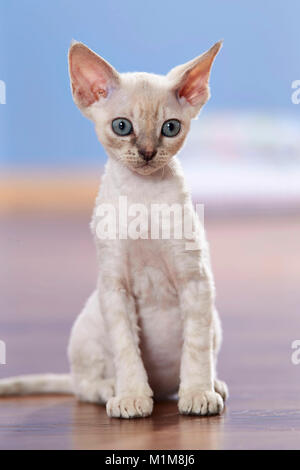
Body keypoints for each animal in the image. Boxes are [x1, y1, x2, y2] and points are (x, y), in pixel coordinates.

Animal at [0, 40, 227, 418]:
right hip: (89, 321)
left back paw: (211, 386)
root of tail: (162, 389)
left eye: (170, 128)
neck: (142, 197)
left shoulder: (195, 281)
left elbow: (195, 349)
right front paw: (132, 397)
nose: (147, 152)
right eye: (122, 126)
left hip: (215, 321)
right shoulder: (114, 287)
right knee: (82, 385)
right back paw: (111, 389)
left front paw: (198, 393)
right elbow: (126, 350)